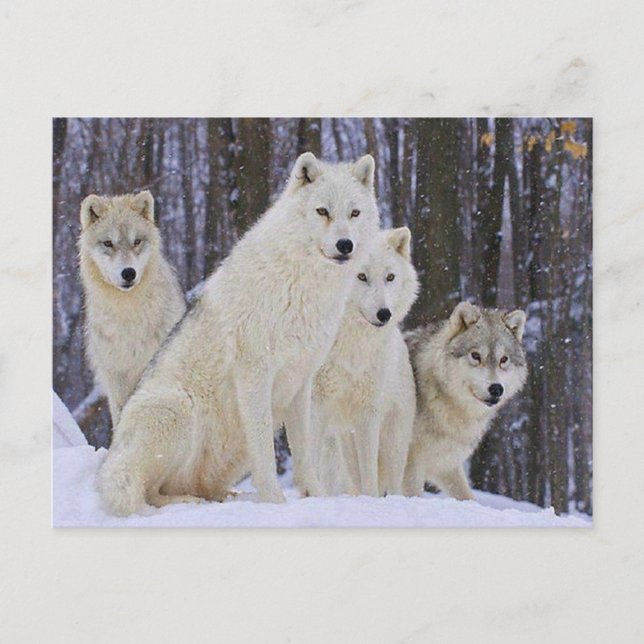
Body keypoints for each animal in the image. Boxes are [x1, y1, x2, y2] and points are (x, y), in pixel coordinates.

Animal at [97, 153, 381, 515]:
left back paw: (223, 497)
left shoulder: (301, 381)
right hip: (178, 409)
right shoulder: (255, 373)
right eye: (322, 211)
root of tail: (112, 455)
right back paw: (188, 503)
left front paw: (316, 497)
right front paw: (275, 502)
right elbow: (266, 455)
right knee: (148, 493)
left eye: (354, 213)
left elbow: (304, 454)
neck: (302, 284)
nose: (345, 245)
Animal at [314, 227, 419, 497]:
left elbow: (369, 476)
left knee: (390, 482)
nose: (384, 314)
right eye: (361, 276)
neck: (351, 345)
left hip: (392, 443)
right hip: (338, 444)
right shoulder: (315, 403)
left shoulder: (368, 412)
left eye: (390, 277)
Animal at [403, 302, 527, 500]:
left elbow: (467, 497)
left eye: (503, 360)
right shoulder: (410, 462)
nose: (496, 389)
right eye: (476, 356)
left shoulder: (445, 464)